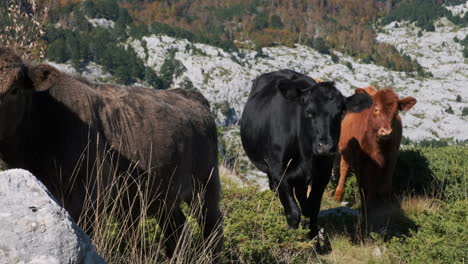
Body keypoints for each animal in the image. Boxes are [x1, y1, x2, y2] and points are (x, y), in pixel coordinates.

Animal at [0, 47, 223, 256]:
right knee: (178, 229)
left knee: (212, 229)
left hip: (206, 185)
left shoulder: (90, 194)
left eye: (14, 90)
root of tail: (190, 94)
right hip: (164, 193)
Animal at [239, 68, 372, 250]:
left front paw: (315, 241)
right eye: (309, 112)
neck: (306, 154)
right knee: (278, 190)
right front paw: (291, 240)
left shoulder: (323, 174)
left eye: (340, 114)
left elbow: (314, 207)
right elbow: (293, 211)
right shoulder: (279, 171)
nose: (326, 146)